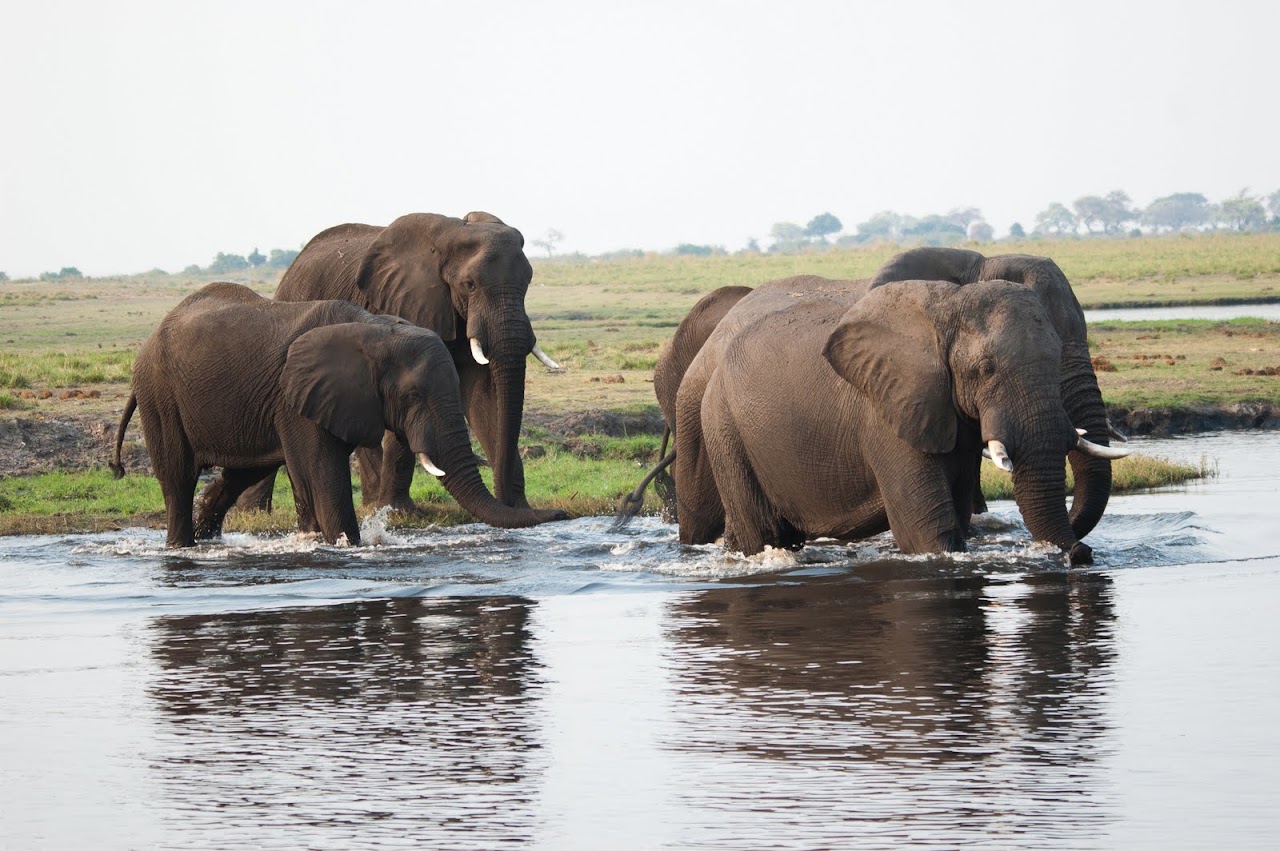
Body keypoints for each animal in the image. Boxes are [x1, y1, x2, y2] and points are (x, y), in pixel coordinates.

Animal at [110, 283, 566, 548]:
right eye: (412, 395)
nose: (561, 513)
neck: (374, 328)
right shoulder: (295, 398)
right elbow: (322, 473)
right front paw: (345, 546)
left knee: (241, 473)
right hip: (159, 395)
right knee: (179, 479)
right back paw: (181, 548)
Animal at [234, 210, 557, 516]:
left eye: (528, 282)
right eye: (470, 285)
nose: (507, 500)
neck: (453, 233)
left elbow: (485, 397)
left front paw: (521, 509)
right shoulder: (404, 306)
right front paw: (401, 513)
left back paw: (369, 504)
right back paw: (255, 513)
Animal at [673, 277, 1127, 564]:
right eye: (986, 369)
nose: (1080, 554)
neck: (951, 307)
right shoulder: (884, 413)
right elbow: (928, 533)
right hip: (724, 426)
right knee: (766, 534)